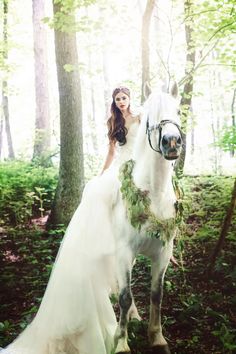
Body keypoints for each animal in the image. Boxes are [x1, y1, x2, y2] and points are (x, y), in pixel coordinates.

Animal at [112, 87, 183, 352]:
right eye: (149, 117)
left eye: (178, 111)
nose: (172, 142)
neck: (153, 194)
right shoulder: (123, 251)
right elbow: (124, 296)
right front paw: (121, 343)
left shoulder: (163, 252)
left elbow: (156, 294)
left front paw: (157, 337)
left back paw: (133, 316)